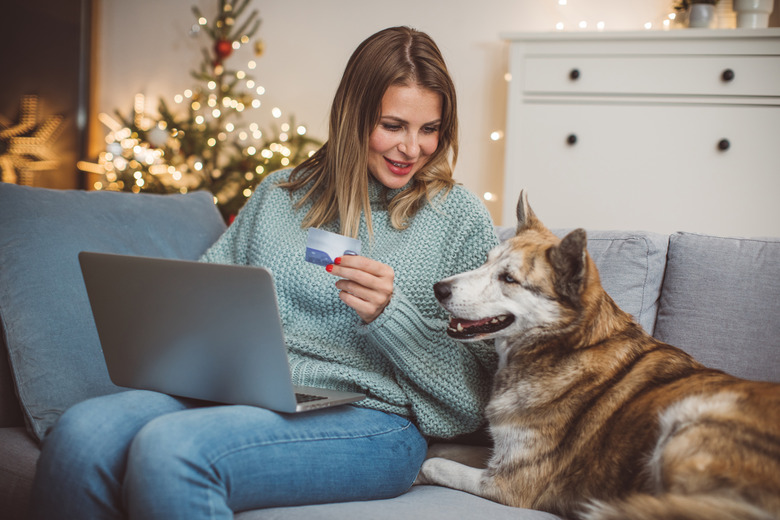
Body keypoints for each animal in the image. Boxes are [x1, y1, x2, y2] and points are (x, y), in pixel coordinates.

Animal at [418, 192, 780, 520]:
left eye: (508, 278)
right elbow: (440, 448)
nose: (438, 288)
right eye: (485, 261)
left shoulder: (510, 482)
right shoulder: (497, 454)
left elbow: (434, 462)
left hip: (686, 420)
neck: (566, 346)